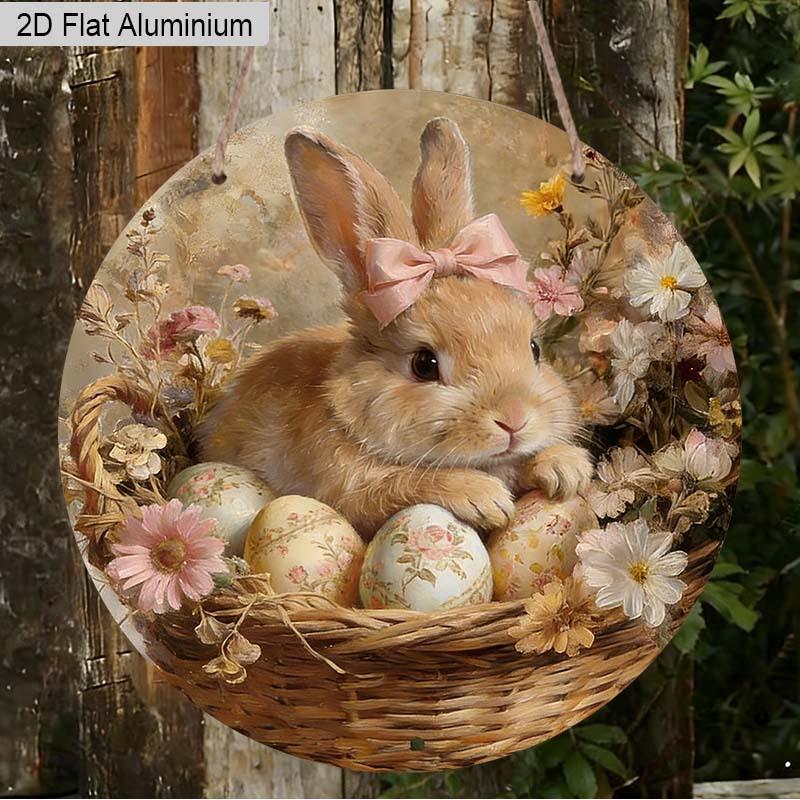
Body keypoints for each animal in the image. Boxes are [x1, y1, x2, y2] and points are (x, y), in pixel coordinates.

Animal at [200, 118, 593, 537]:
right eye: (424, 364)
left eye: (534, 349)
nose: (514, 419)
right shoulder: (350, 492)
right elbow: (406, 484)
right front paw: (482, 496)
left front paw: (565, 468)